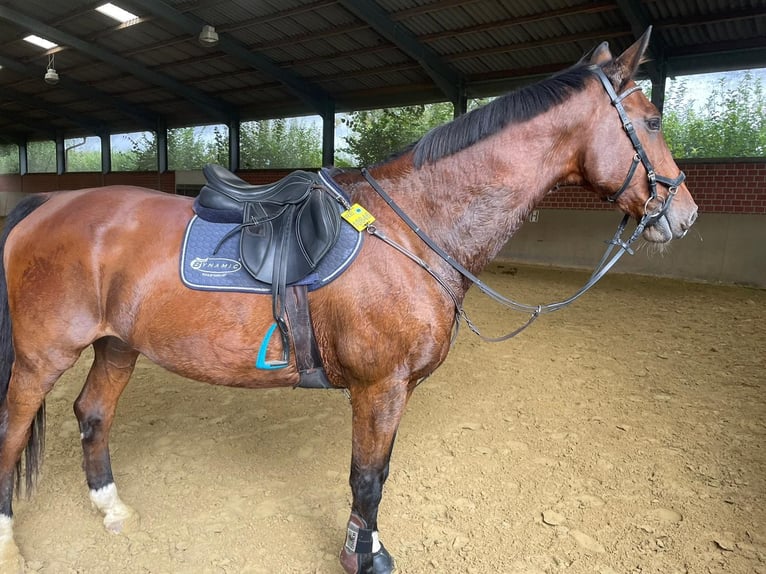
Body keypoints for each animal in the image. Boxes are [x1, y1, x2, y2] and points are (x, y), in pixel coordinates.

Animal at [0, 30, 700, 574]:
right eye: (653, 121)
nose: (686, 213)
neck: (414, 226)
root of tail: (48, 205)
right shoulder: (380, 387)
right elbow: (369, 478)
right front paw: (363, 556)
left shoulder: (392, 389)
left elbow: (376, 475)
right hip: (43, 356)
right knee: (13, 430)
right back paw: (11, 544)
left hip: (117, 345)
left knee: (93, 414)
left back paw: (112, 509)